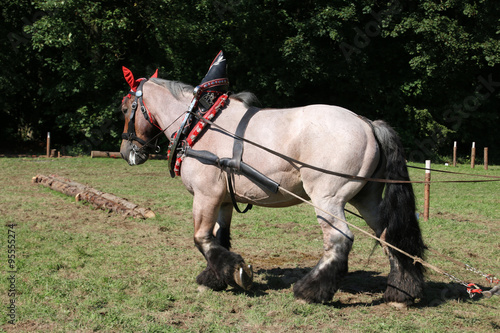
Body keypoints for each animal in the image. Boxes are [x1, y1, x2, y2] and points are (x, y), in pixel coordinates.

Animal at [119, 66, 424, 304]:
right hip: (366, 198)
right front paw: (216, 277)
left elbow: (202, 238)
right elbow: (219, 236)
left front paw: (236, 272)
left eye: (124, 108)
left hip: (329, 199)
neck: (199, 124)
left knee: (340, 240)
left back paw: (309, 291)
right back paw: (401, 292)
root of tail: (368, 123)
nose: (126, 152)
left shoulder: (206, 195)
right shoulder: (223, 199)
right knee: (388, 237)